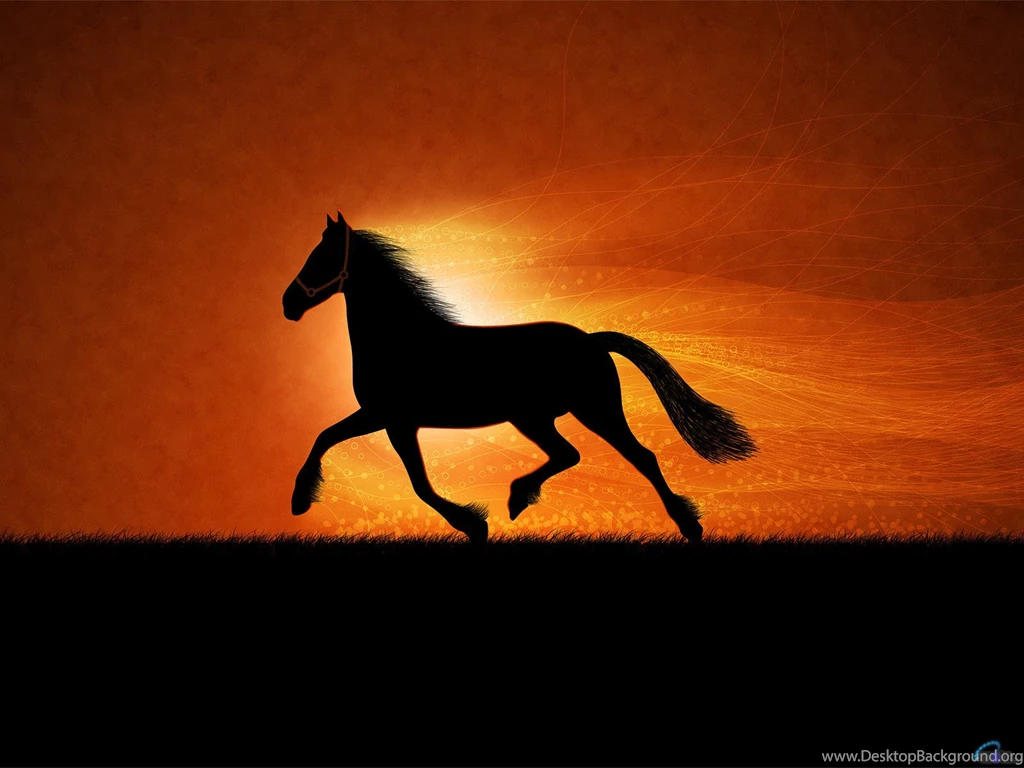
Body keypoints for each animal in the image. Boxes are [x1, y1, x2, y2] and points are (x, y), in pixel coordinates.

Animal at [282, 212, 757, 544]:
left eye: (322, 257)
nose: (288, 304)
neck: (400, 338)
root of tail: (591, 340)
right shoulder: (386, 418)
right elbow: (328, 438)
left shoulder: (392, 419)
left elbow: (414, 482)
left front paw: (474, 525)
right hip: (537, 418)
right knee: (570, 454)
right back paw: (518, 498)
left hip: (590, 411)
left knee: (640, 457)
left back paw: (688, 527)